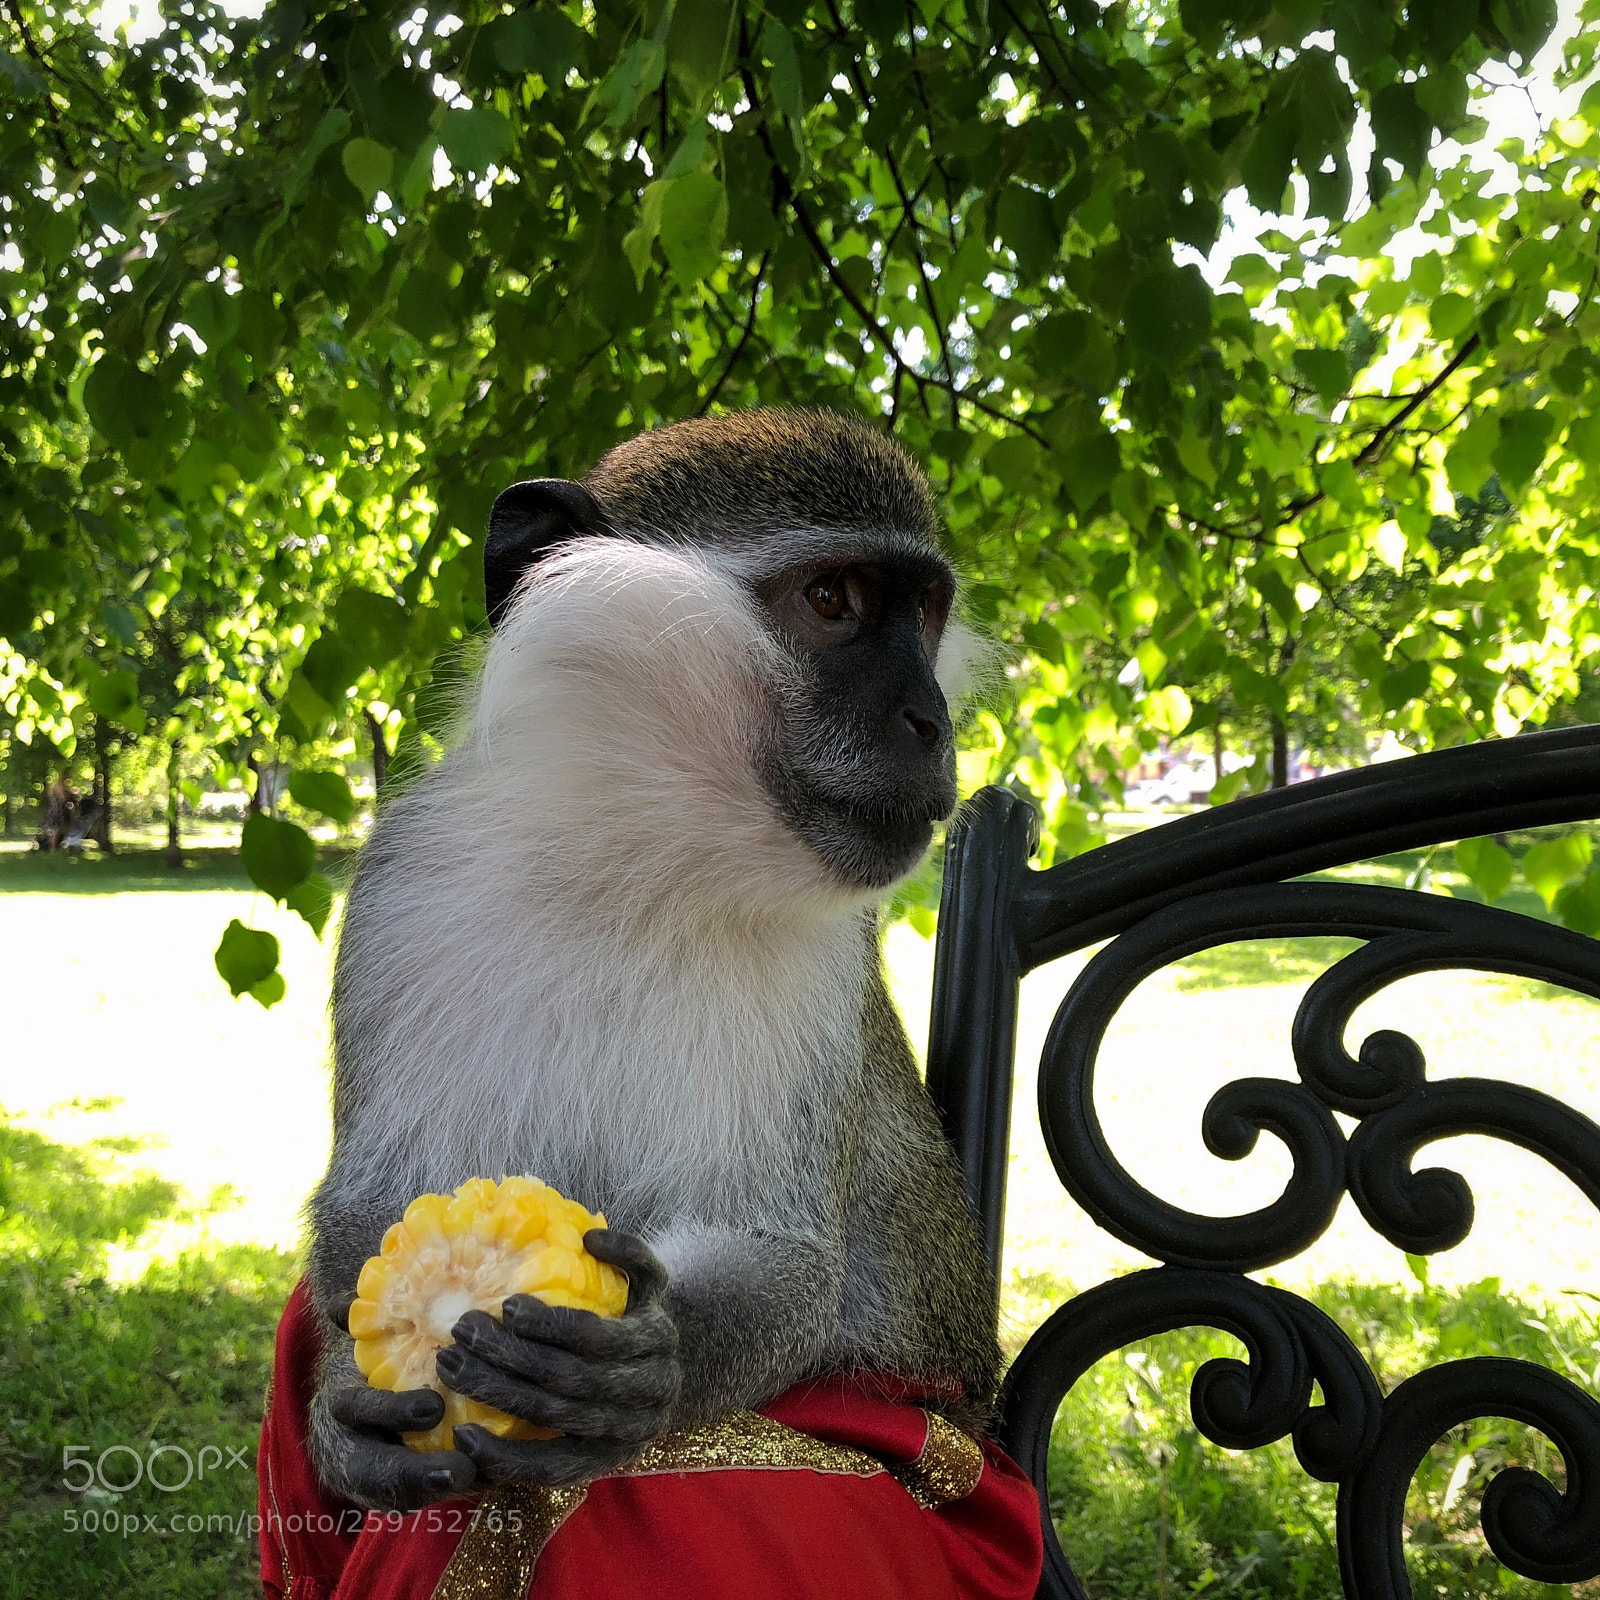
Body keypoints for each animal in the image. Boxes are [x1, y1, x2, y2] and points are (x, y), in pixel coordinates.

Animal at [305, 407, 1000, 1511]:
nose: (931, 722)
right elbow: (365, 1219)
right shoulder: (401, 883)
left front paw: (650, 1363)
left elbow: (784, 1258)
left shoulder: (828, 959)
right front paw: (345, 1417)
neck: (633, 850)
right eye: (833, 600)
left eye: (925, 612)